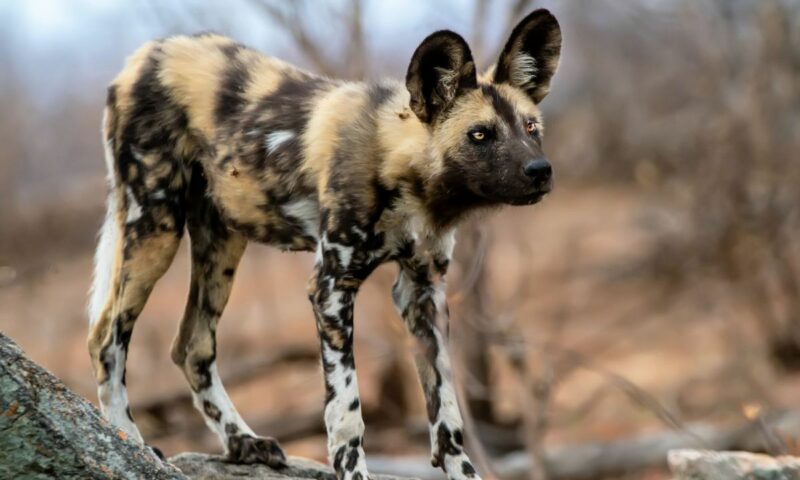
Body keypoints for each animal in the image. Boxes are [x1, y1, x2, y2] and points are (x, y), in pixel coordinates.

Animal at [87, 8, 560, 480]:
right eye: (480, 135)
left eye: (531, 128)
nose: (540, 171)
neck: (399, 167)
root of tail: (145, 53)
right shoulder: (331, 288)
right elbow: (346, 410)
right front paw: (353, 472)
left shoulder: (423, 292)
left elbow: (447, 413)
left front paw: (463, 471)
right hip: (156, 228)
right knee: (106, 339)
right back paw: (129, 439)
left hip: (222, 243)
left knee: (192, 346)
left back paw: (244, 442)